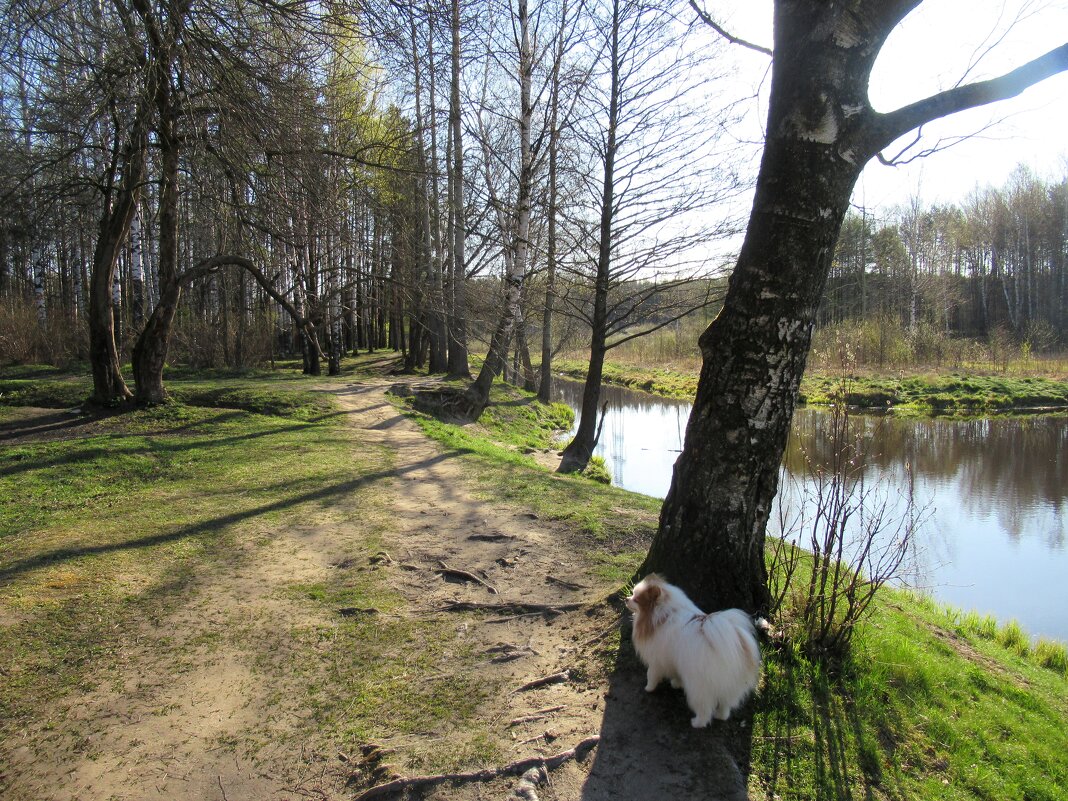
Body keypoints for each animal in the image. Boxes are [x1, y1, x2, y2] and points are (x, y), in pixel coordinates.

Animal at [623, 576, 764, 726]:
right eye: (633, 593)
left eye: (636, 599)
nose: (626, 599)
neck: (664, 614)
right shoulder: (675, 660)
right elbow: (676, 674)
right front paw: (676, 683)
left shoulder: (656, 660)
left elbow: (651, 675)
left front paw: (649, 688)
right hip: (731, 685)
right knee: (725, 704)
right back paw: (721, 716)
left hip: (698, 686)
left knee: (704, 709)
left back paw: (697, 722)